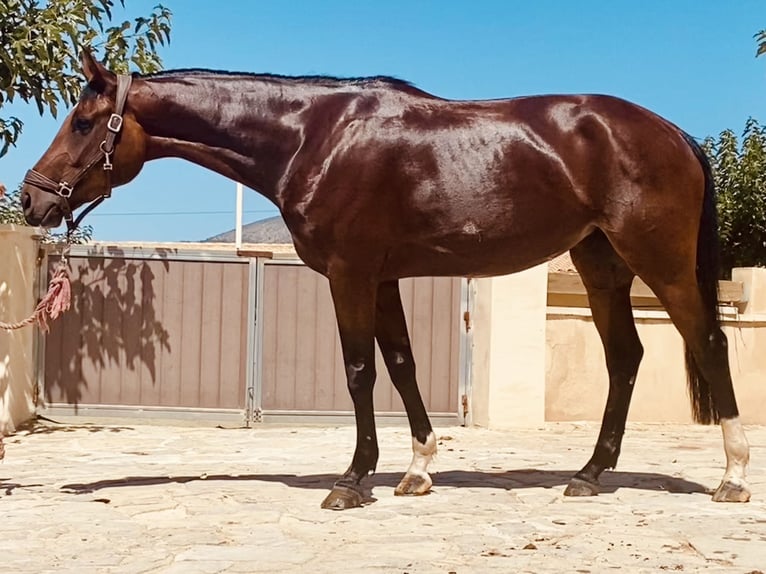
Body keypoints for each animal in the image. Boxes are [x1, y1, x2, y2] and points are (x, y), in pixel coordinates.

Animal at [22, 51, 752, 510]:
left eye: (82, 122)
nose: (31, 201)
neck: (313, 136)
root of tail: (675, 134)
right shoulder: (383, 277)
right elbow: (401, 364)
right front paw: (418, 469)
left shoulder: (350, 274)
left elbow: (359, 371)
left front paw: (351, 480)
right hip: (602, 267)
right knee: (625, 357)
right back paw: (590, 475)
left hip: (660, 262)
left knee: (708, 344)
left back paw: (733, 475)